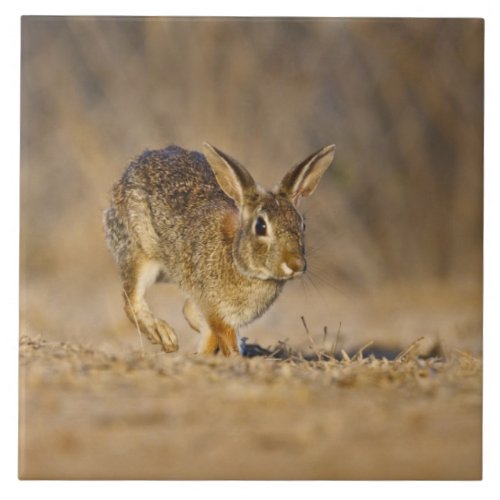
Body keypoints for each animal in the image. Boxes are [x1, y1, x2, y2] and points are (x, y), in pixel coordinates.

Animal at [103, 142, 334, 356]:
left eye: (302, 224)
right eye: (261, 226)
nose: (296, 264)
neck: (238, 260)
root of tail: (132, 167)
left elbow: (206, 330)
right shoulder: (216, 310)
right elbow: (223, 338)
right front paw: (230, 357)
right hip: (140, 252)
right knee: (132, 301)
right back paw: (164, 336)